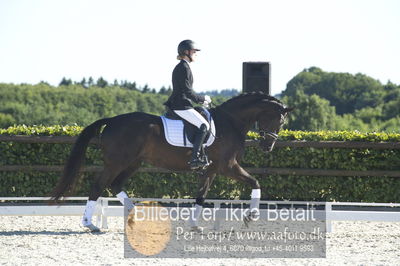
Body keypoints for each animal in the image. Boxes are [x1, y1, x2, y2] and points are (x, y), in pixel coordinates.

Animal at [51, 91, 292, 231]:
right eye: (279, 120)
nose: (268, 146)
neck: (230, 123)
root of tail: (112, 120)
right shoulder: (228, 166)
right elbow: (255, 182)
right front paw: (251, 216)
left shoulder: (211, 170)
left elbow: (201, 196)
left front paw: (194, 225)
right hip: (117, 162)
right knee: (99, 185)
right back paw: (90, 224)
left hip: (133, 163)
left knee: (115, 184)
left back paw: (139, 218)